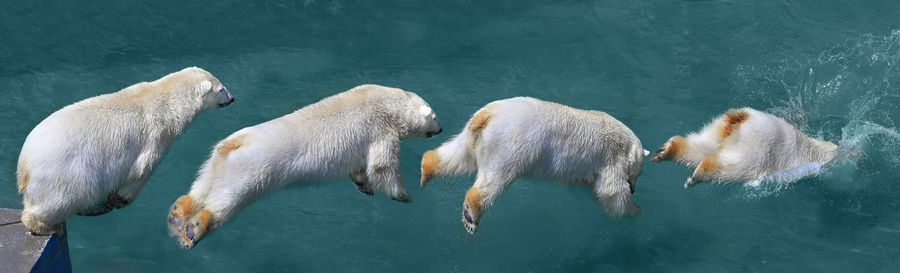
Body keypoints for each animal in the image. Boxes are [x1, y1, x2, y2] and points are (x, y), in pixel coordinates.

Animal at [18, 66, 236, 234]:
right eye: (221, 89)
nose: (232, 98)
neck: (166, 101)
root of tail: (24, 166)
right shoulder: (155, 137)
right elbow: (139, 173)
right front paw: (114, 202)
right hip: (67, 174)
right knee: (64, 199)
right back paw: (47, 226)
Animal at [169, 84, 442, 248]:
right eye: (435, 117)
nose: (441, 129)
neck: (387, 101)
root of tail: (233, 145)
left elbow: (358, 167)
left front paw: (364, 186)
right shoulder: (380, 128)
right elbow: (383, 165)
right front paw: (404, 196)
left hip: (215, 161)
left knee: (201, 187)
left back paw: (178, 214)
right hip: (251, 172)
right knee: (228, 200)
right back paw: (195, 227)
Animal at [420, 96, 648, 233]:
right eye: (638, 174)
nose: (634, 190)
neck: (625, 140)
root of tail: (487, 116)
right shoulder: (610, 156)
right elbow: (611, 191)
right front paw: (636, 210)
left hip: (474, 136)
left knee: (457, 156)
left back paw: (426, 170)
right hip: (510, 147)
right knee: (494, 181)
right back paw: (471, 217)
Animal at [652, 107, 840, 186]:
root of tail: (743, 117)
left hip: (719, 129)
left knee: (700, 147)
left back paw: (663, 152)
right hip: (758, 149)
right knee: (731, 168)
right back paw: (694, 178)